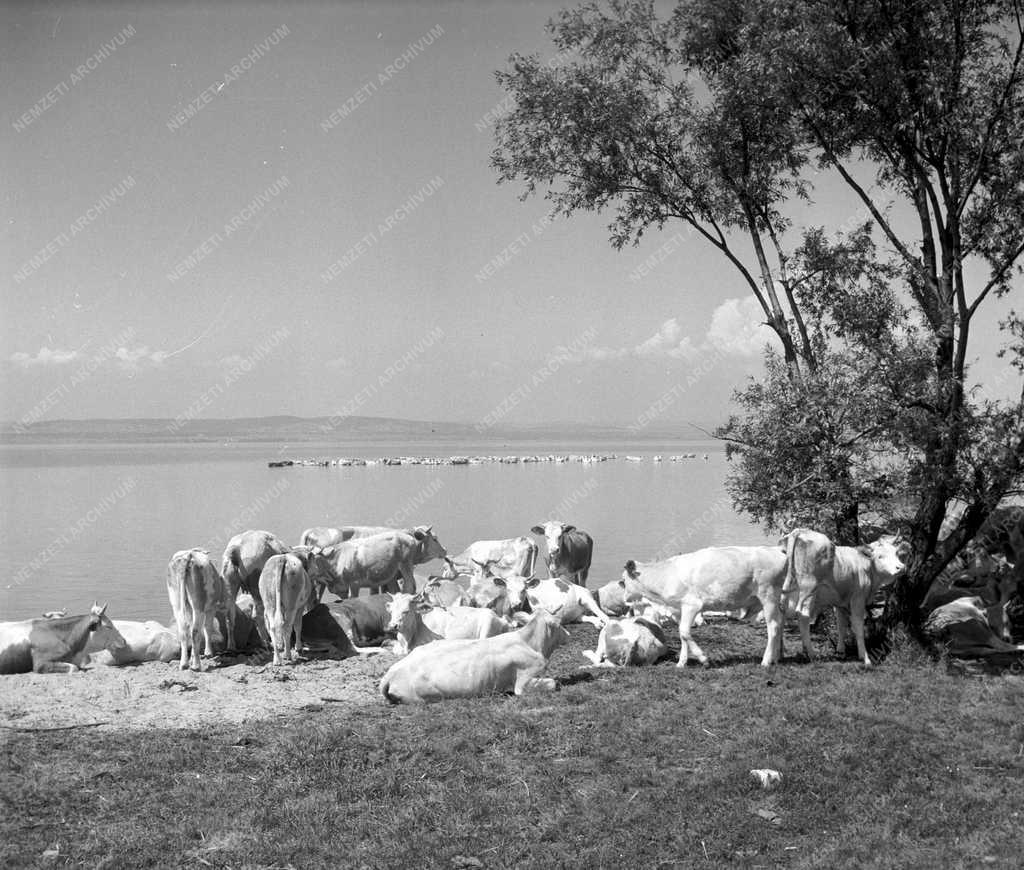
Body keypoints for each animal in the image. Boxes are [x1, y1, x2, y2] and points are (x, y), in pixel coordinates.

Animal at [378, 605, 573, 700]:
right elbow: (553, 683)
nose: (569, 635)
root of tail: (392, 673)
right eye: (559, 624)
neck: (529, 643)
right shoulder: (523, 683)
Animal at [618, 544, 786, 667]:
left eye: (623, 581)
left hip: (768, 595)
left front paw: (703, 659)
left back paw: (766, 661)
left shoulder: (692, 605)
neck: (666, 577)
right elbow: (682, 635)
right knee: (780, 623)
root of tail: (775, 549)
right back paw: (776, 658)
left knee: (773, 626)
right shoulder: (679, 609)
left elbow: (685, 632)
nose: (624, 598)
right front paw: (681, 663)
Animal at [782, 528, 905, 663]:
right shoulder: (858, 598)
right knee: (803, 616)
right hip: (808, 589)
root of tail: (801, 531)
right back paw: (811, 654)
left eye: (896, 553)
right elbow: (858, 626)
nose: (901, 568)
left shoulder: (840, 602)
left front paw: (841, 651)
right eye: (880, 556)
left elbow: (841, 625)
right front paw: (865, 657)